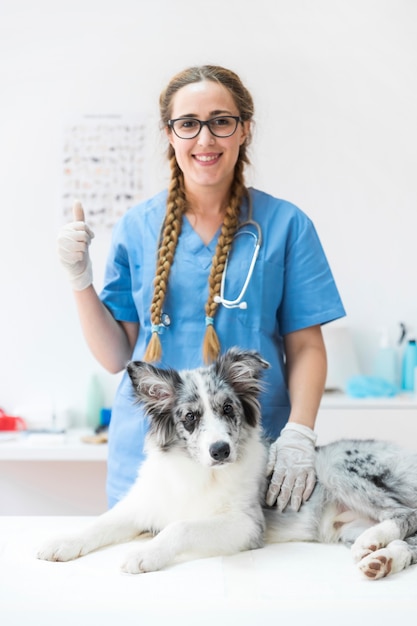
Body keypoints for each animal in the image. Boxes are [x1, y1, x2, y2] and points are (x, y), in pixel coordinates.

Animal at [35, 346, 416, 576]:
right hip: (346, 527)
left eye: (228, 408)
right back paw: (381, 558)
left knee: (405, 514)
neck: (197, 472)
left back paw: (376, 544)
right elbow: (100, 523)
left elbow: (181, 526)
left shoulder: (246, 525)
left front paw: (144, 554)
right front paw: (60, 543)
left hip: (337, 468)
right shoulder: (143, 505)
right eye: (190, 417)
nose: (220, 450)